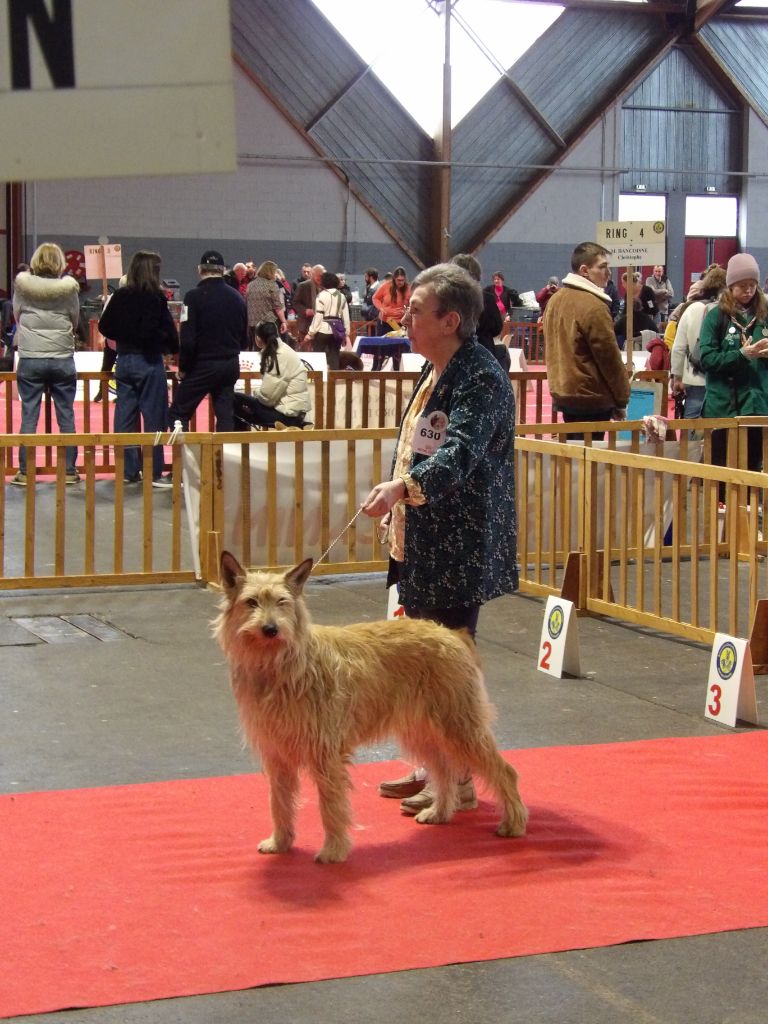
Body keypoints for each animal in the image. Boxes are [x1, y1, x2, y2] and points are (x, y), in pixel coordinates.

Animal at [217, 552, 528, 864]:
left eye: (282, 602)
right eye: (251, 602)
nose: (271, 629)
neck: (278, 664)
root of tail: (453, 634)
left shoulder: (325, 755)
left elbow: (331, 807)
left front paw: (333, 851)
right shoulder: (276, 754)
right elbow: (279, 803)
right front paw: (280, 842)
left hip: (461, 726)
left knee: (505, 772)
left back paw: (513, 823)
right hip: (422, 732)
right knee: (444, 770)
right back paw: (439, 812)